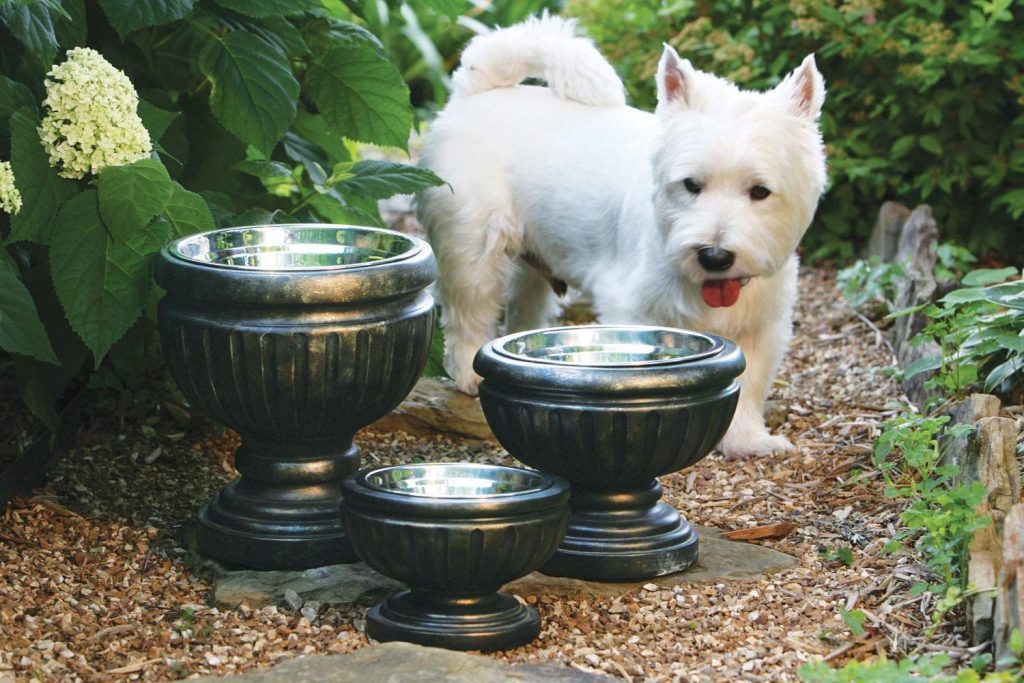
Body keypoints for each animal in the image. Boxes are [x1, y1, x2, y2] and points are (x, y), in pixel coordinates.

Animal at [415, 17, 823, 458]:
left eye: (760, 191)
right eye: (691, 184)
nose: (714, 256)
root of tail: (475, 91)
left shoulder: (762, 326)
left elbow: (750, 385)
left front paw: (748, 440)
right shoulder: (631, 308)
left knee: (525, 308)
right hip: (472, 245)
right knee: (468, 311)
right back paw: (469, 372)